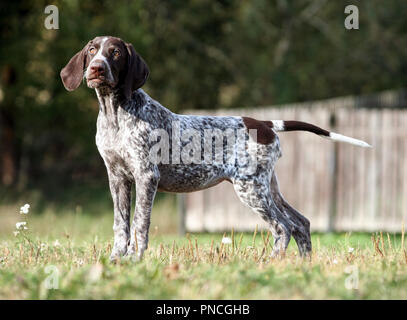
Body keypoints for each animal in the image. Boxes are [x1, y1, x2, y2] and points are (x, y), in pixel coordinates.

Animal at [61, 35, 372, 260]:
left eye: (115, 53)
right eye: (92, 50)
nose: (96, 68)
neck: (115, 114)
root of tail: (263, 123)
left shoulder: (146, 176)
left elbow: (139, 223)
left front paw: (135, 260)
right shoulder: (118, 178)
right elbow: (120, 224)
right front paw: (116, 259)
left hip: (250, 188)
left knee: (282, 227)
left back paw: (270, 264)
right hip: (267, 186)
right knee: (300, 224)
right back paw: (302, 266)